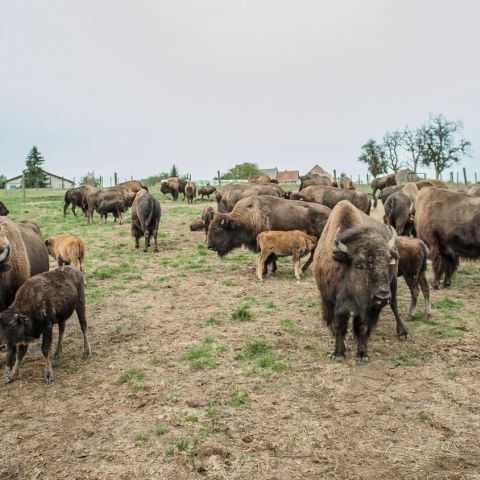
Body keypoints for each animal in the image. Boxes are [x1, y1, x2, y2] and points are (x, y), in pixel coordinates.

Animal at [314, 200, 406, 364]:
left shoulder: (367, 307)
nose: (382, 296)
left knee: (394, 304)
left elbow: (363, 327)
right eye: (358, 264)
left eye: (387, 262)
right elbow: (338, 325)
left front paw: (362, 355)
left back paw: (402, 333)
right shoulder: (332, 301)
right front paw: (338, 353)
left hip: (393, 284)